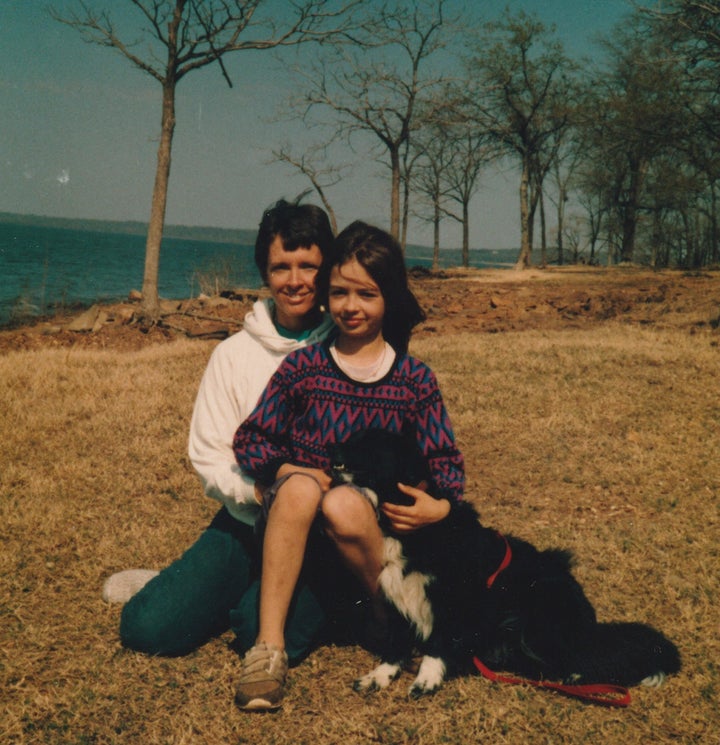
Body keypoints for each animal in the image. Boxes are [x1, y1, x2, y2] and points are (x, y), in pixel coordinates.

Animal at [332, 430, 680, 696]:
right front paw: (379, 676)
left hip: (540, 605)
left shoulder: (453, 601)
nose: (330, 449)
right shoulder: (398, 594)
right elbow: (397, 646)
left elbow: (438, 643)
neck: (412, 529)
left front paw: (427, 679)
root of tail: (590, 626)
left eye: (369, 443)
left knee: (585, 659)